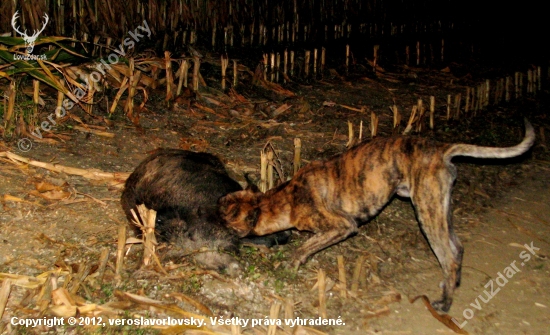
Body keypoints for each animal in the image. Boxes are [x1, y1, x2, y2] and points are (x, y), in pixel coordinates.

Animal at [220, 119, 536, 314]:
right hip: (440, 209)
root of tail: (440, 149)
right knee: (457, 249)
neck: (283, 198)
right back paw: (450, 289)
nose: (215, 206)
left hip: (427, 212)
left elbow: (304, 247)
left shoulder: (342, 226)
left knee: (448, 255)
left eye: (225, 220)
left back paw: (444, 303)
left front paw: (293, 264)